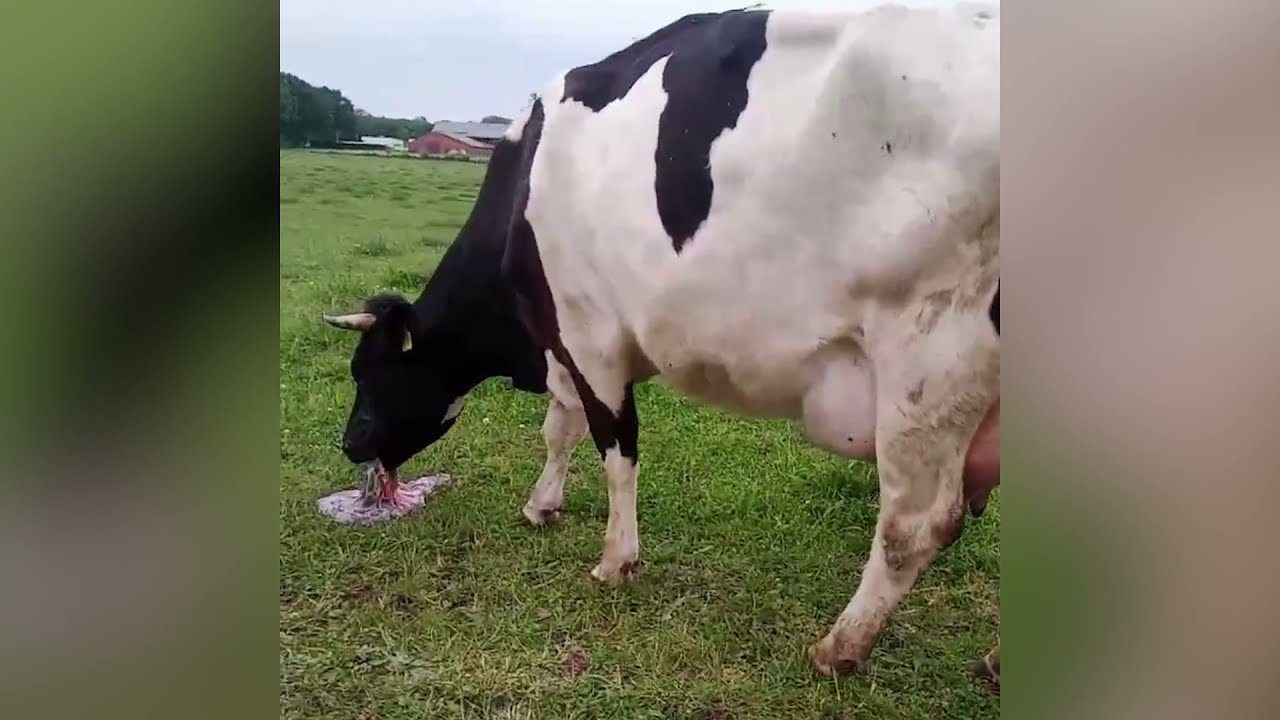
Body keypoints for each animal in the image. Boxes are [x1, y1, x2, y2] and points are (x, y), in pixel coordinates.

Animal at [322, 4, 1000, 678]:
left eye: (368, 373)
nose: (350, 444)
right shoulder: (565, 342)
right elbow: (560, 428)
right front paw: (543, 505)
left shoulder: (588, 332)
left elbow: (614, 447)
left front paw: (616, 560)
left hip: (931, 355)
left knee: (914, 524)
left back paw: (841, 647)